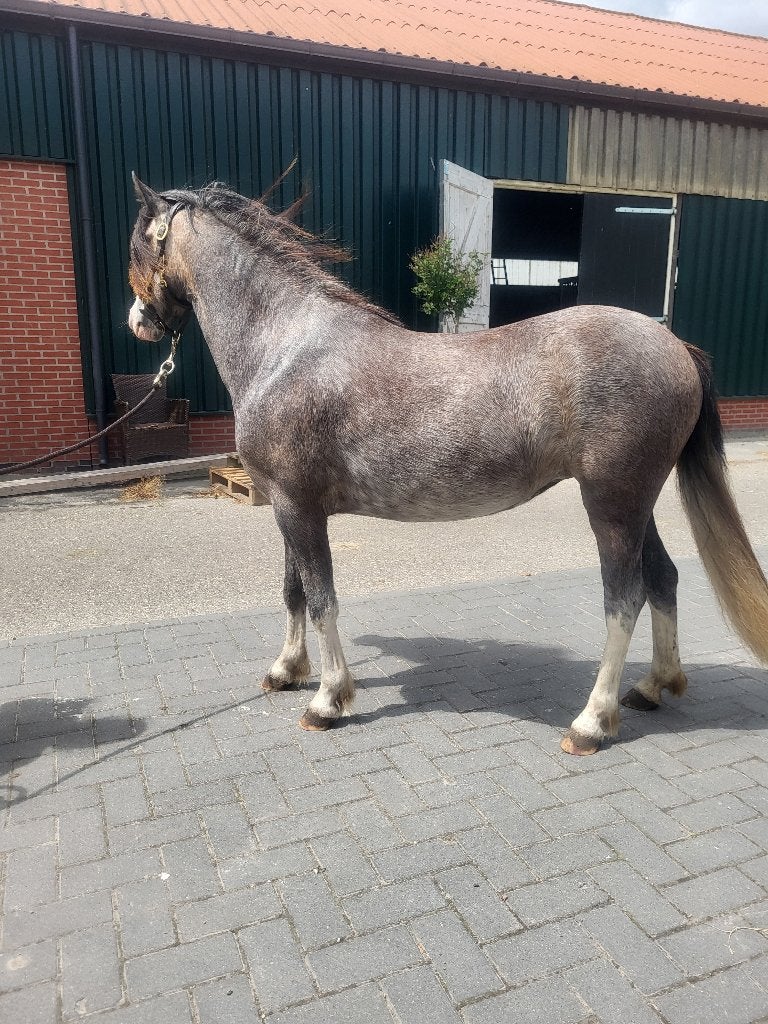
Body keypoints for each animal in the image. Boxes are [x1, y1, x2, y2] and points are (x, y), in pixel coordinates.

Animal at [127, 175, 768, 756]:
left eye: (136, 242)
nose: (139, 321)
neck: (287, 347)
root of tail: (677, 348)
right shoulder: (288, 505)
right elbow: (293, 591)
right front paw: (286, 671)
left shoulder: (298, 508)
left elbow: (321, 597)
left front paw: (328, 700)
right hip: (637, 505)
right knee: (663, 579)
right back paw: (653, 687)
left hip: (611, 506)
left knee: (625, 599)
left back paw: (591, 723)